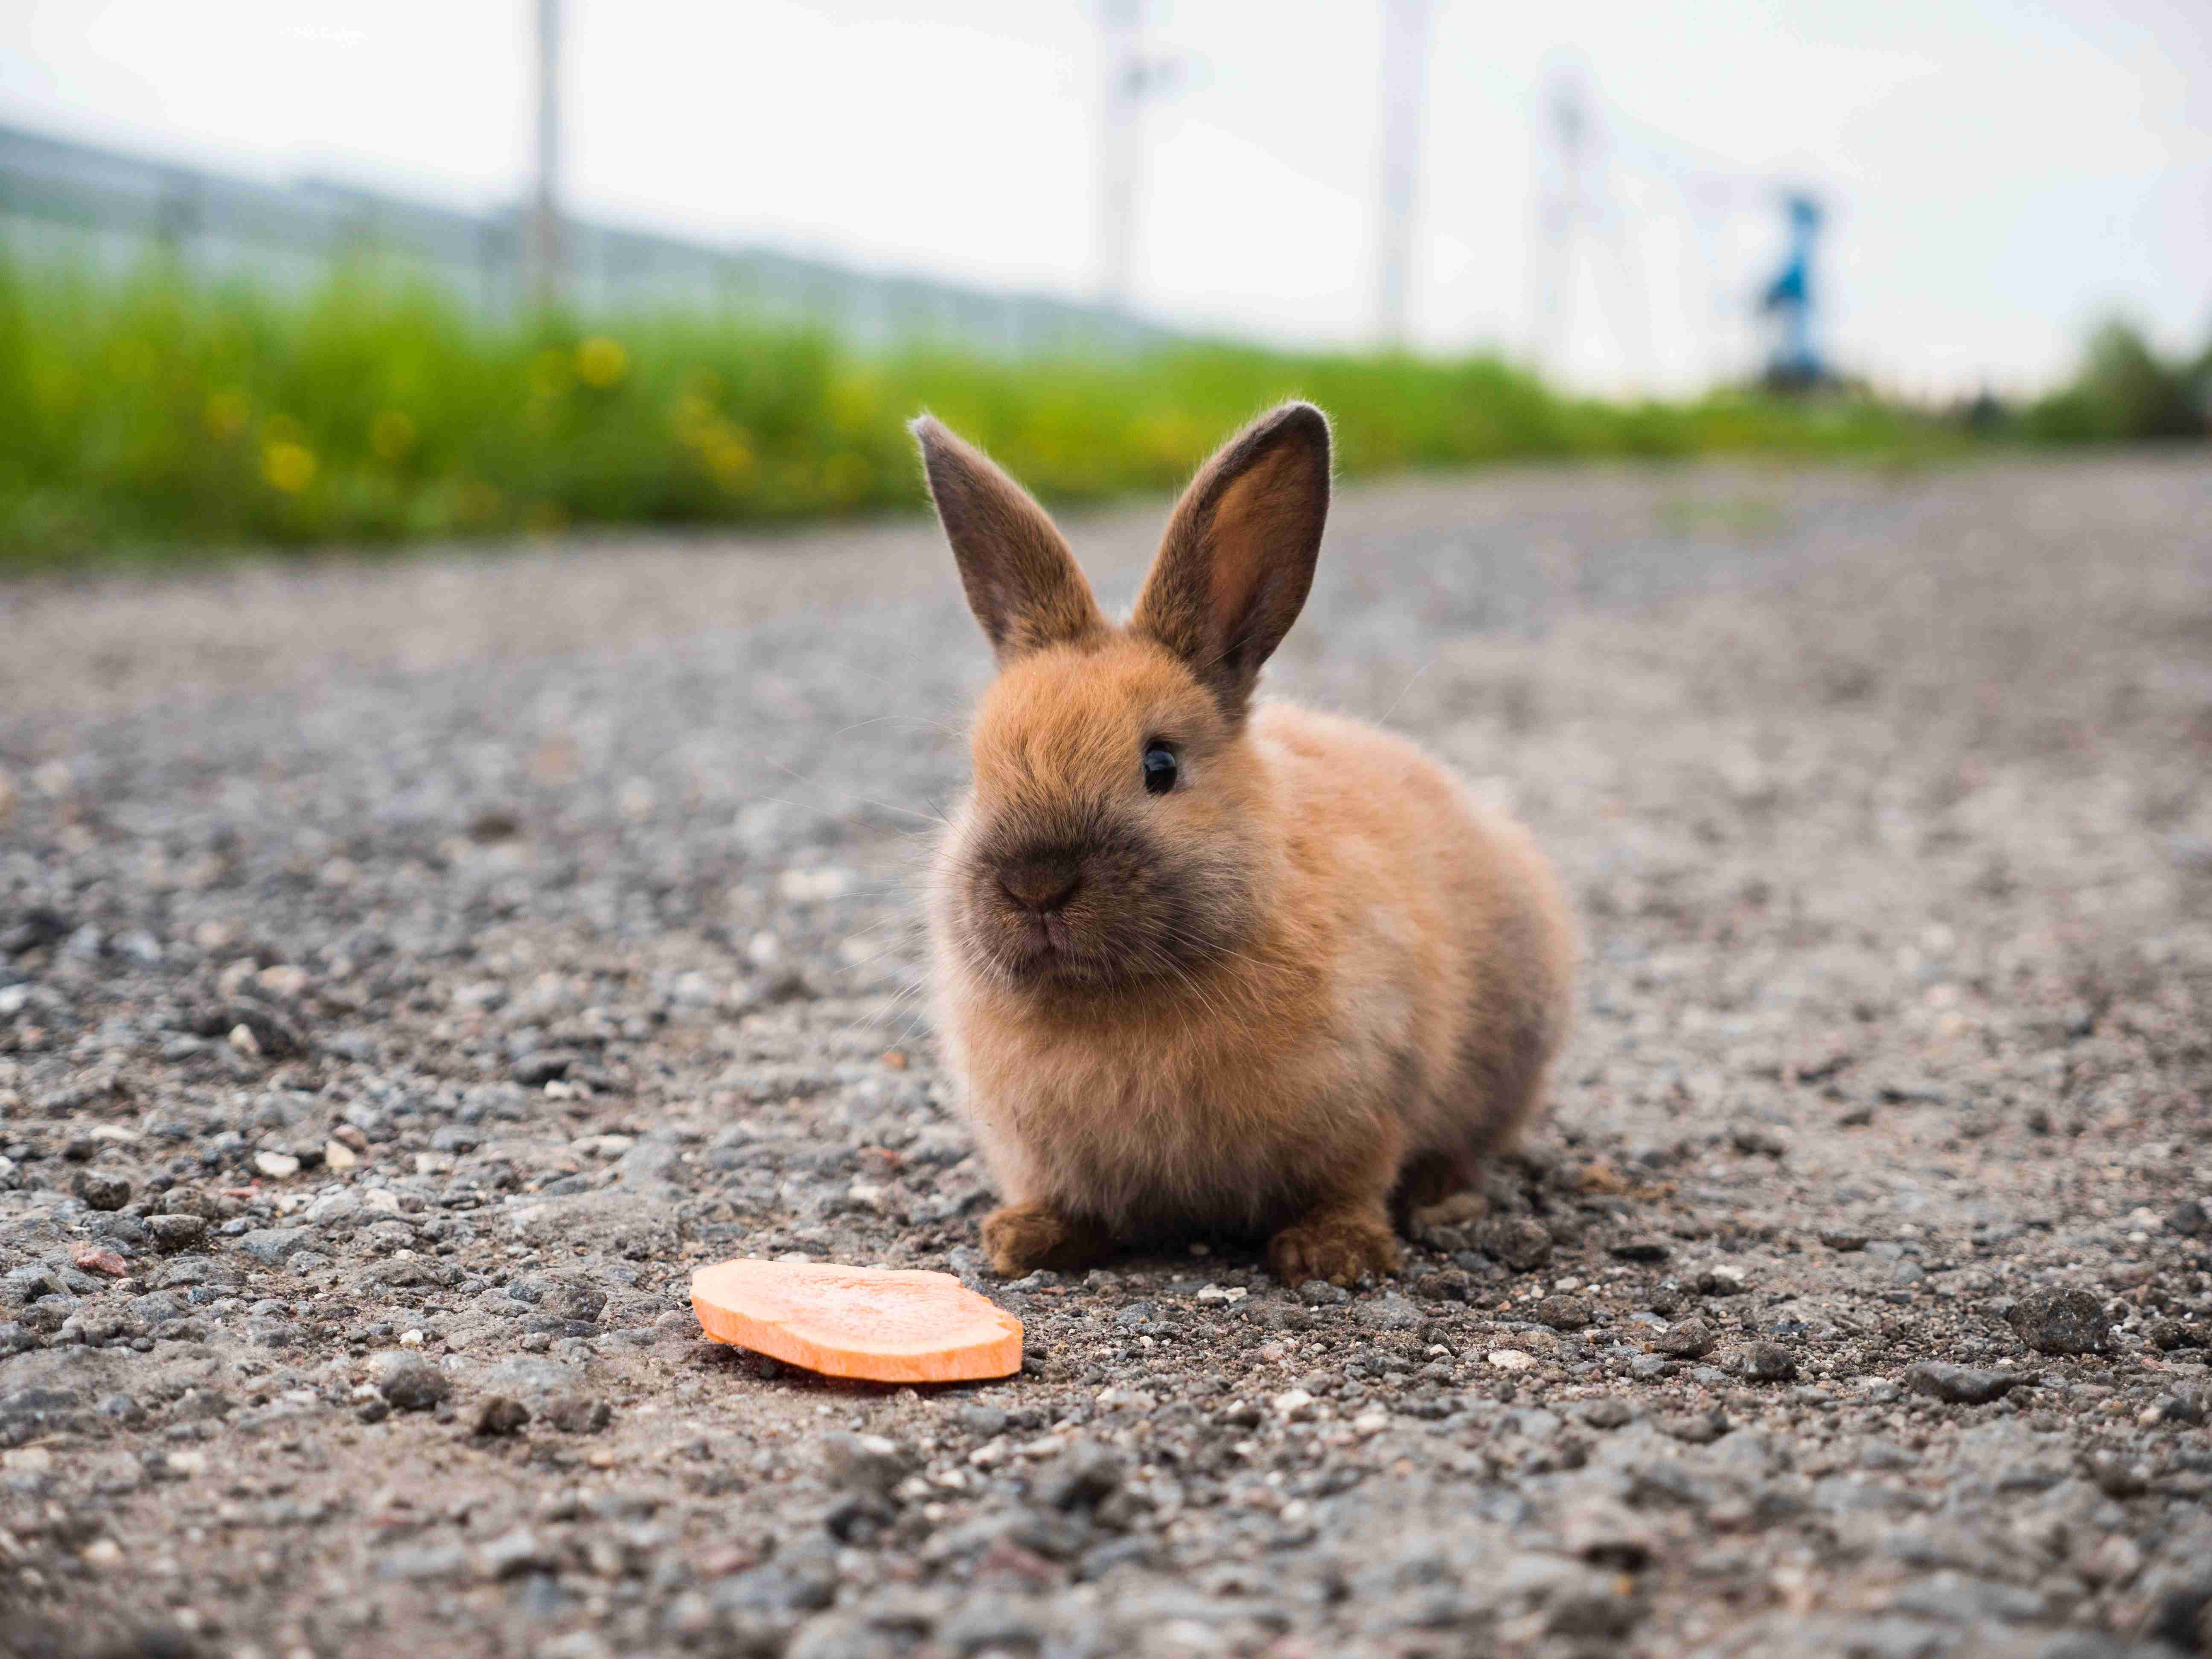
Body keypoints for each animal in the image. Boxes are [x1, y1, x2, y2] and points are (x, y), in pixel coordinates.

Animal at [911, 409, 1575, 1292]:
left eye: (1159, 765)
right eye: (977, 771)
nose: (1036, 884)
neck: (1117, 996)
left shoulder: (1371, 1098)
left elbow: (1352, 1180)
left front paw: (1334, 1253)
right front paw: (1024, 1239)